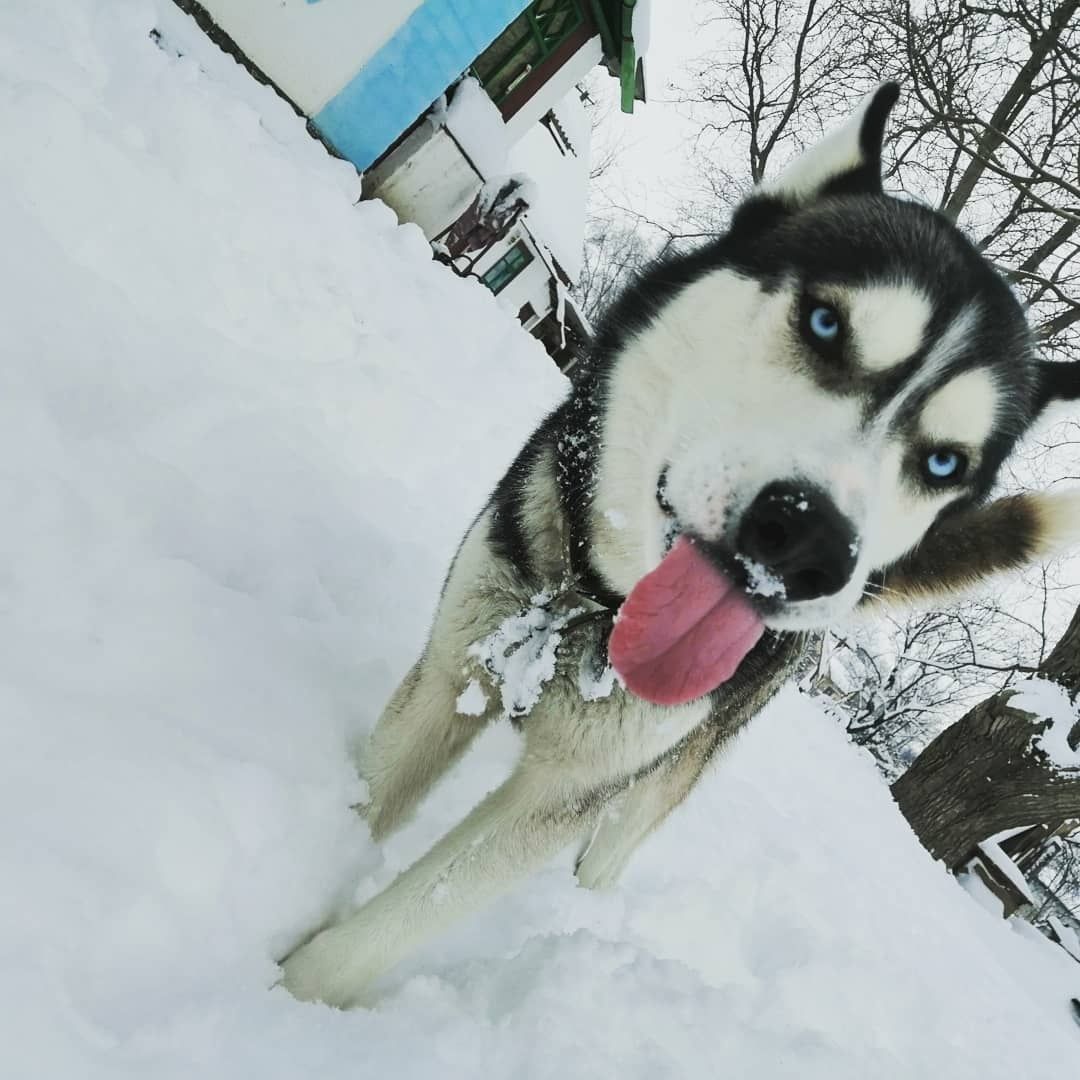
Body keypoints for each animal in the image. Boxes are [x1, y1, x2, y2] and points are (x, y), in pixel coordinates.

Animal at [280, 88, 1080, 1006]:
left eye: (946, 462)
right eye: (824, 322)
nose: (812, 543)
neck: (592, 604)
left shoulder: (571, 792)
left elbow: (406, 918)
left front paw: (289, 997)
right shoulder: (453, 672)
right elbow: (372, 797)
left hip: (671, 769)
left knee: (619, 837)